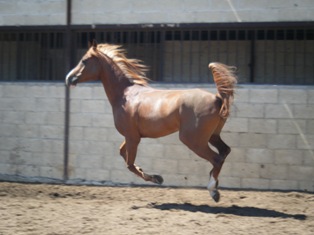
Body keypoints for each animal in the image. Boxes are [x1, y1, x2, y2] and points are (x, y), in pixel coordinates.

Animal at [67, 40, 238, 202]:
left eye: (84, 60)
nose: (68, 78)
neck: (125, 95)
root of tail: (218, 98)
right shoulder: (131, 136)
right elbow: (123, 154)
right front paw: (152, 175)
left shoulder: (132, 137)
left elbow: (129, 164)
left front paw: (157, 178)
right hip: (212, 136)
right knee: (224, 152)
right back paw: (215, 184)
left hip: (193, 140)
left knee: (216, 159)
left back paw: (213, 191)